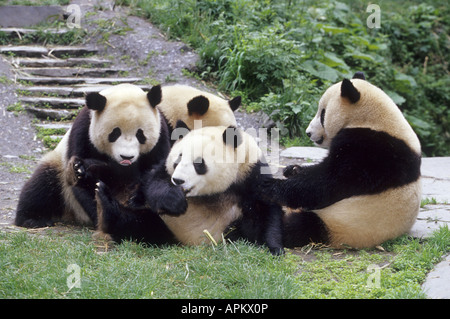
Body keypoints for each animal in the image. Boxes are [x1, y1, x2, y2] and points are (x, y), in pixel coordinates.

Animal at [89, 124, 284, 256]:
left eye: (199, 163)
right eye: (178, 159)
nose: (178, 180)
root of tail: (186, 242)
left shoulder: (252, 175)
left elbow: (266, 212)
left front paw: (274, 248)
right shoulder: (164, 169)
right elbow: (154, 183)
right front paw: (175, 201)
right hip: (167, 223)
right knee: (139, 223)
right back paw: (105, 204)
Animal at [260, 72, 422, 250]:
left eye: (323, 114)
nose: (308, 132)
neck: (374, 120)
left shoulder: (372, 152)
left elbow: (328, 182)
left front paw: (271, 186)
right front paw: (292, 169)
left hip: (341, 223)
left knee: (301, 225)